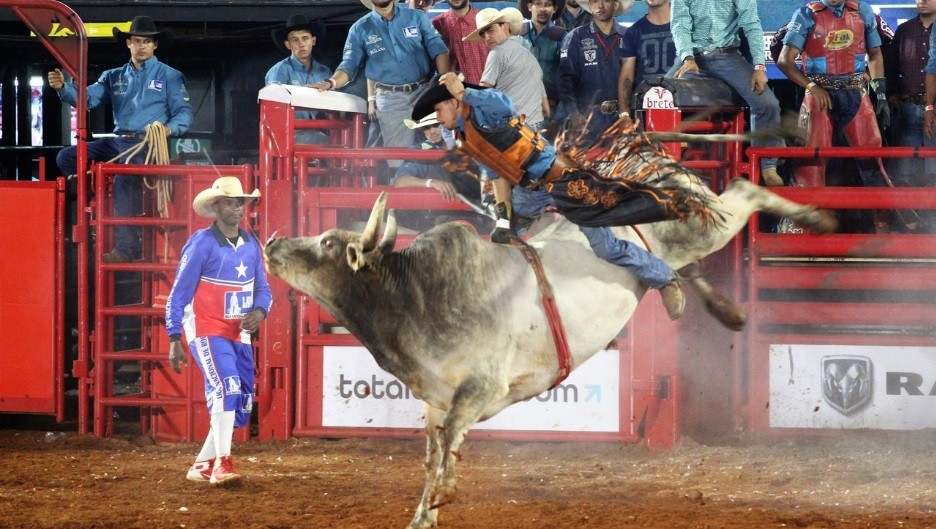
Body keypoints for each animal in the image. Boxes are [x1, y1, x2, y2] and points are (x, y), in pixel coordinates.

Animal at [262, 175, 832, 524]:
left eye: (329, 243)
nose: (270, 242)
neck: (415, 295)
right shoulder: (435, 400)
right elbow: (433, 454)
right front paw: (425, 512)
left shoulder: (480, 387)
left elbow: (449, 445)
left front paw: (442, 496)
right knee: (683, 269)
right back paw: (718, 308)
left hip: (702, 224)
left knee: (741, 190)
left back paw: (817, 219)